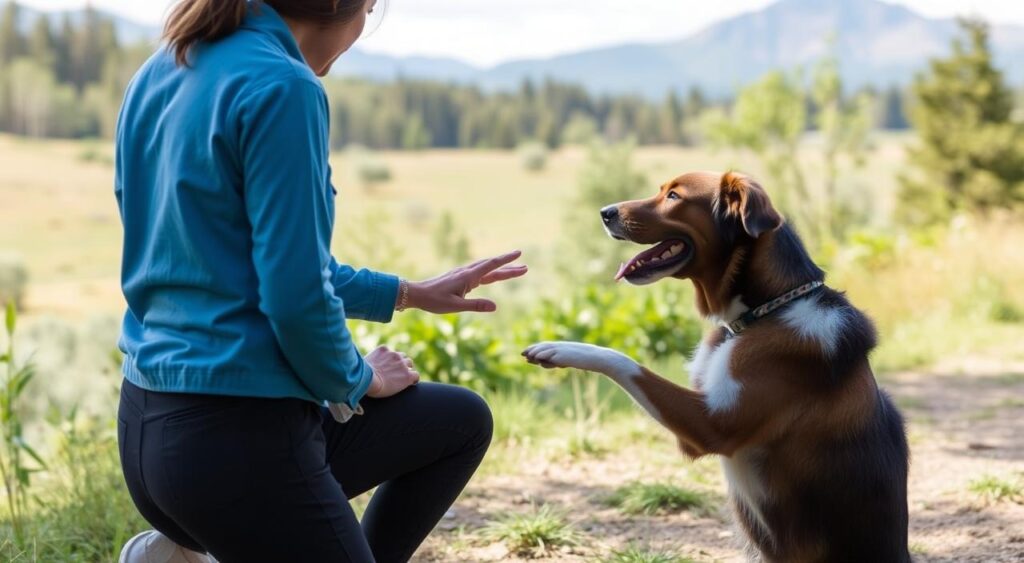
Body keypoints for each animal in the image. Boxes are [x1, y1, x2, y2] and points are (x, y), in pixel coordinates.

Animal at [524, 171, 909, 563]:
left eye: (674, 196)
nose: (605, 212)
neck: (766, 311)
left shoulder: (711, 425)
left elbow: (627, 362)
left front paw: (560, 348)